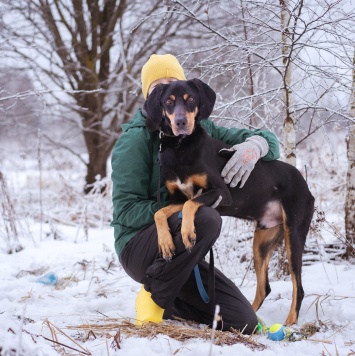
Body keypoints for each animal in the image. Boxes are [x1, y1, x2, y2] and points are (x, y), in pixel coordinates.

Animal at [143, 78, 316, 326]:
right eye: (168, 101)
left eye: (191, 99)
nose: (181, 122)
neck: (181, 147)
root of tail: (306, 186)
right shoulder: (177, 197)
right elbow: (160, 212)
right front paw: (166, 242)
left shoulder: (221, 193)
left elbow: (190, 205)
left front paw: (187, 233)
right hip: (262, 240)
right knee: (264, 287)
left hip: (294, 232)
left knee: (298, 287)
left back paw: (290, 323)